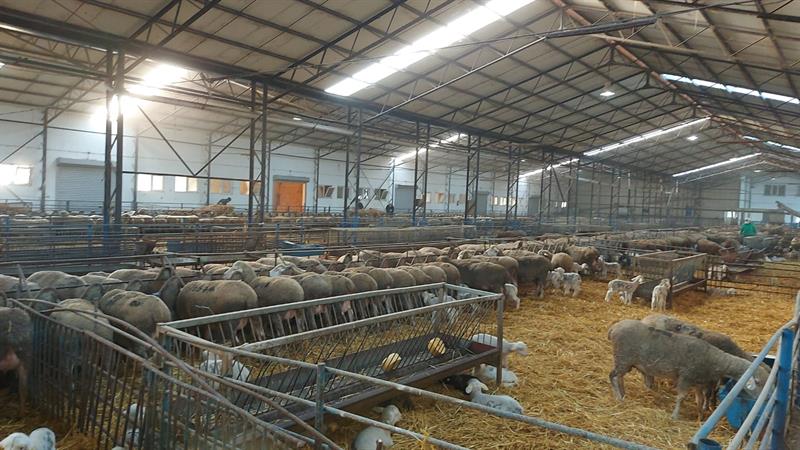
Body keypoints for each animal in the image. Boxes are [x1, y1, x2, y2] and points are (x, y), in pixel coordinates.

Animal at [608, 319, 769, 419]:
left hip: (627, 362)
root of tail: (614, 328)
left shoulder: (699, 383)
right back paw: (618, 397)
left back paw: (623, 394)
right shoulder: (686, 377)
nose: (765, 399)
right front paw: (675, 416)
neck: (713, 359)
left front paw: (700, 416)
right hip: (623, 357)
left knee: (620, 377)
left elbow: (700, 400)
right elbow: (681, 397)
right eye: (759, 383)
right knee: (613, 376)